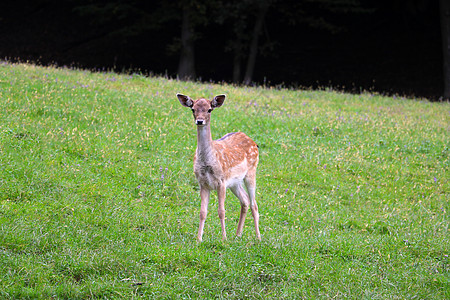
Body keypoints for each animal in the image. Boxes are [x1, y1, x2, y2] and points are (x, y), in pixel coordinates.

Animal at [176, 94, 260, 244]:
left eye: (209, 109)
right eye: (193, 109)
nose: (199, 121)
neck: (207, 163)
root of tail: (254, 143)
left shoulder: (221, 181)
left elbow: (221, 211)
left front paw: (224, 238)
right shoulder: (203, 183)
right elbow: (202, 212)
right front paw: (199, 239)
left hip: (251, 172)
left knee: (253, 204)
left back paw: (258, 237)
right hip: (234, 183)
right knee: (244, 200)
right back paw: (238, 234)